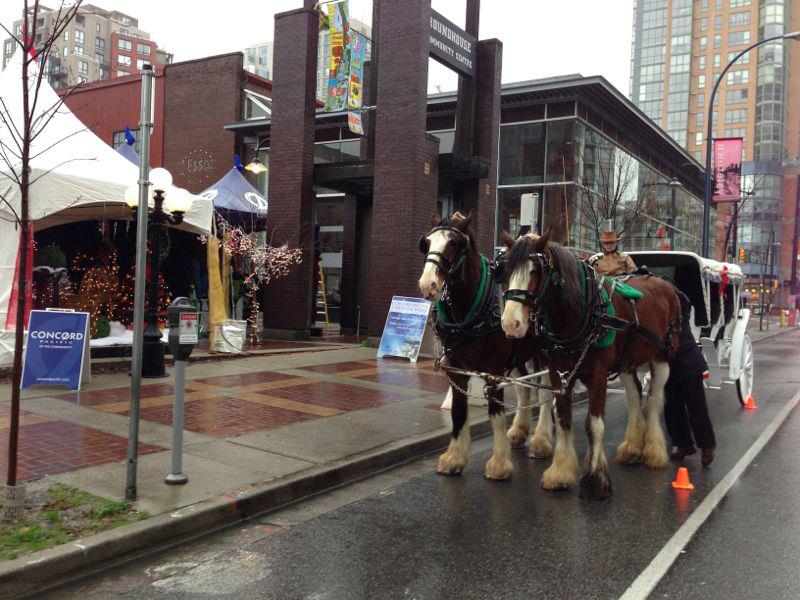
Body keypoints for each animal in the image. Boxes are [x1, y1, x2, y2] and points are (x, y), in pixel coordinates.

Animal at [416, 213, 552, 480]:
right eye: (426, 243)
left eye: (453, 243)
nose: (428, 285)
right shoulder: (456, 369)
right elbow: (458, 413)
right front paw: (454, 458)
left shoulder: (493, 371)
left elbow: (496, 414)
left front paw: (499, 464)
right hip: (520, 356)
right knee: (523, 389)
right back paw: (519, 432)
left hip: (546, 354)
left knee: (545, 393)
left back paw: (541, 441)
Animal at [504, 232, 680, 500]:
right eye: (507, 271)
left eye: (535, 270)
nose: (510, 324)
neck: (581, 314)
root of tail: (664, 284)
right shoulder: (559, 373)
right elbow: (564, 419)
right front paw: (561, 471)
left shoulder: (598, 374)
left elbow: (594, 424)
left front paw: (596, 479)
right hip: (627, 363)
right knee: (634, 396)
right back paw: (632, 447)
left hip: (661, 359)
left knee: (654, 398)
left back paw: (654, 452)